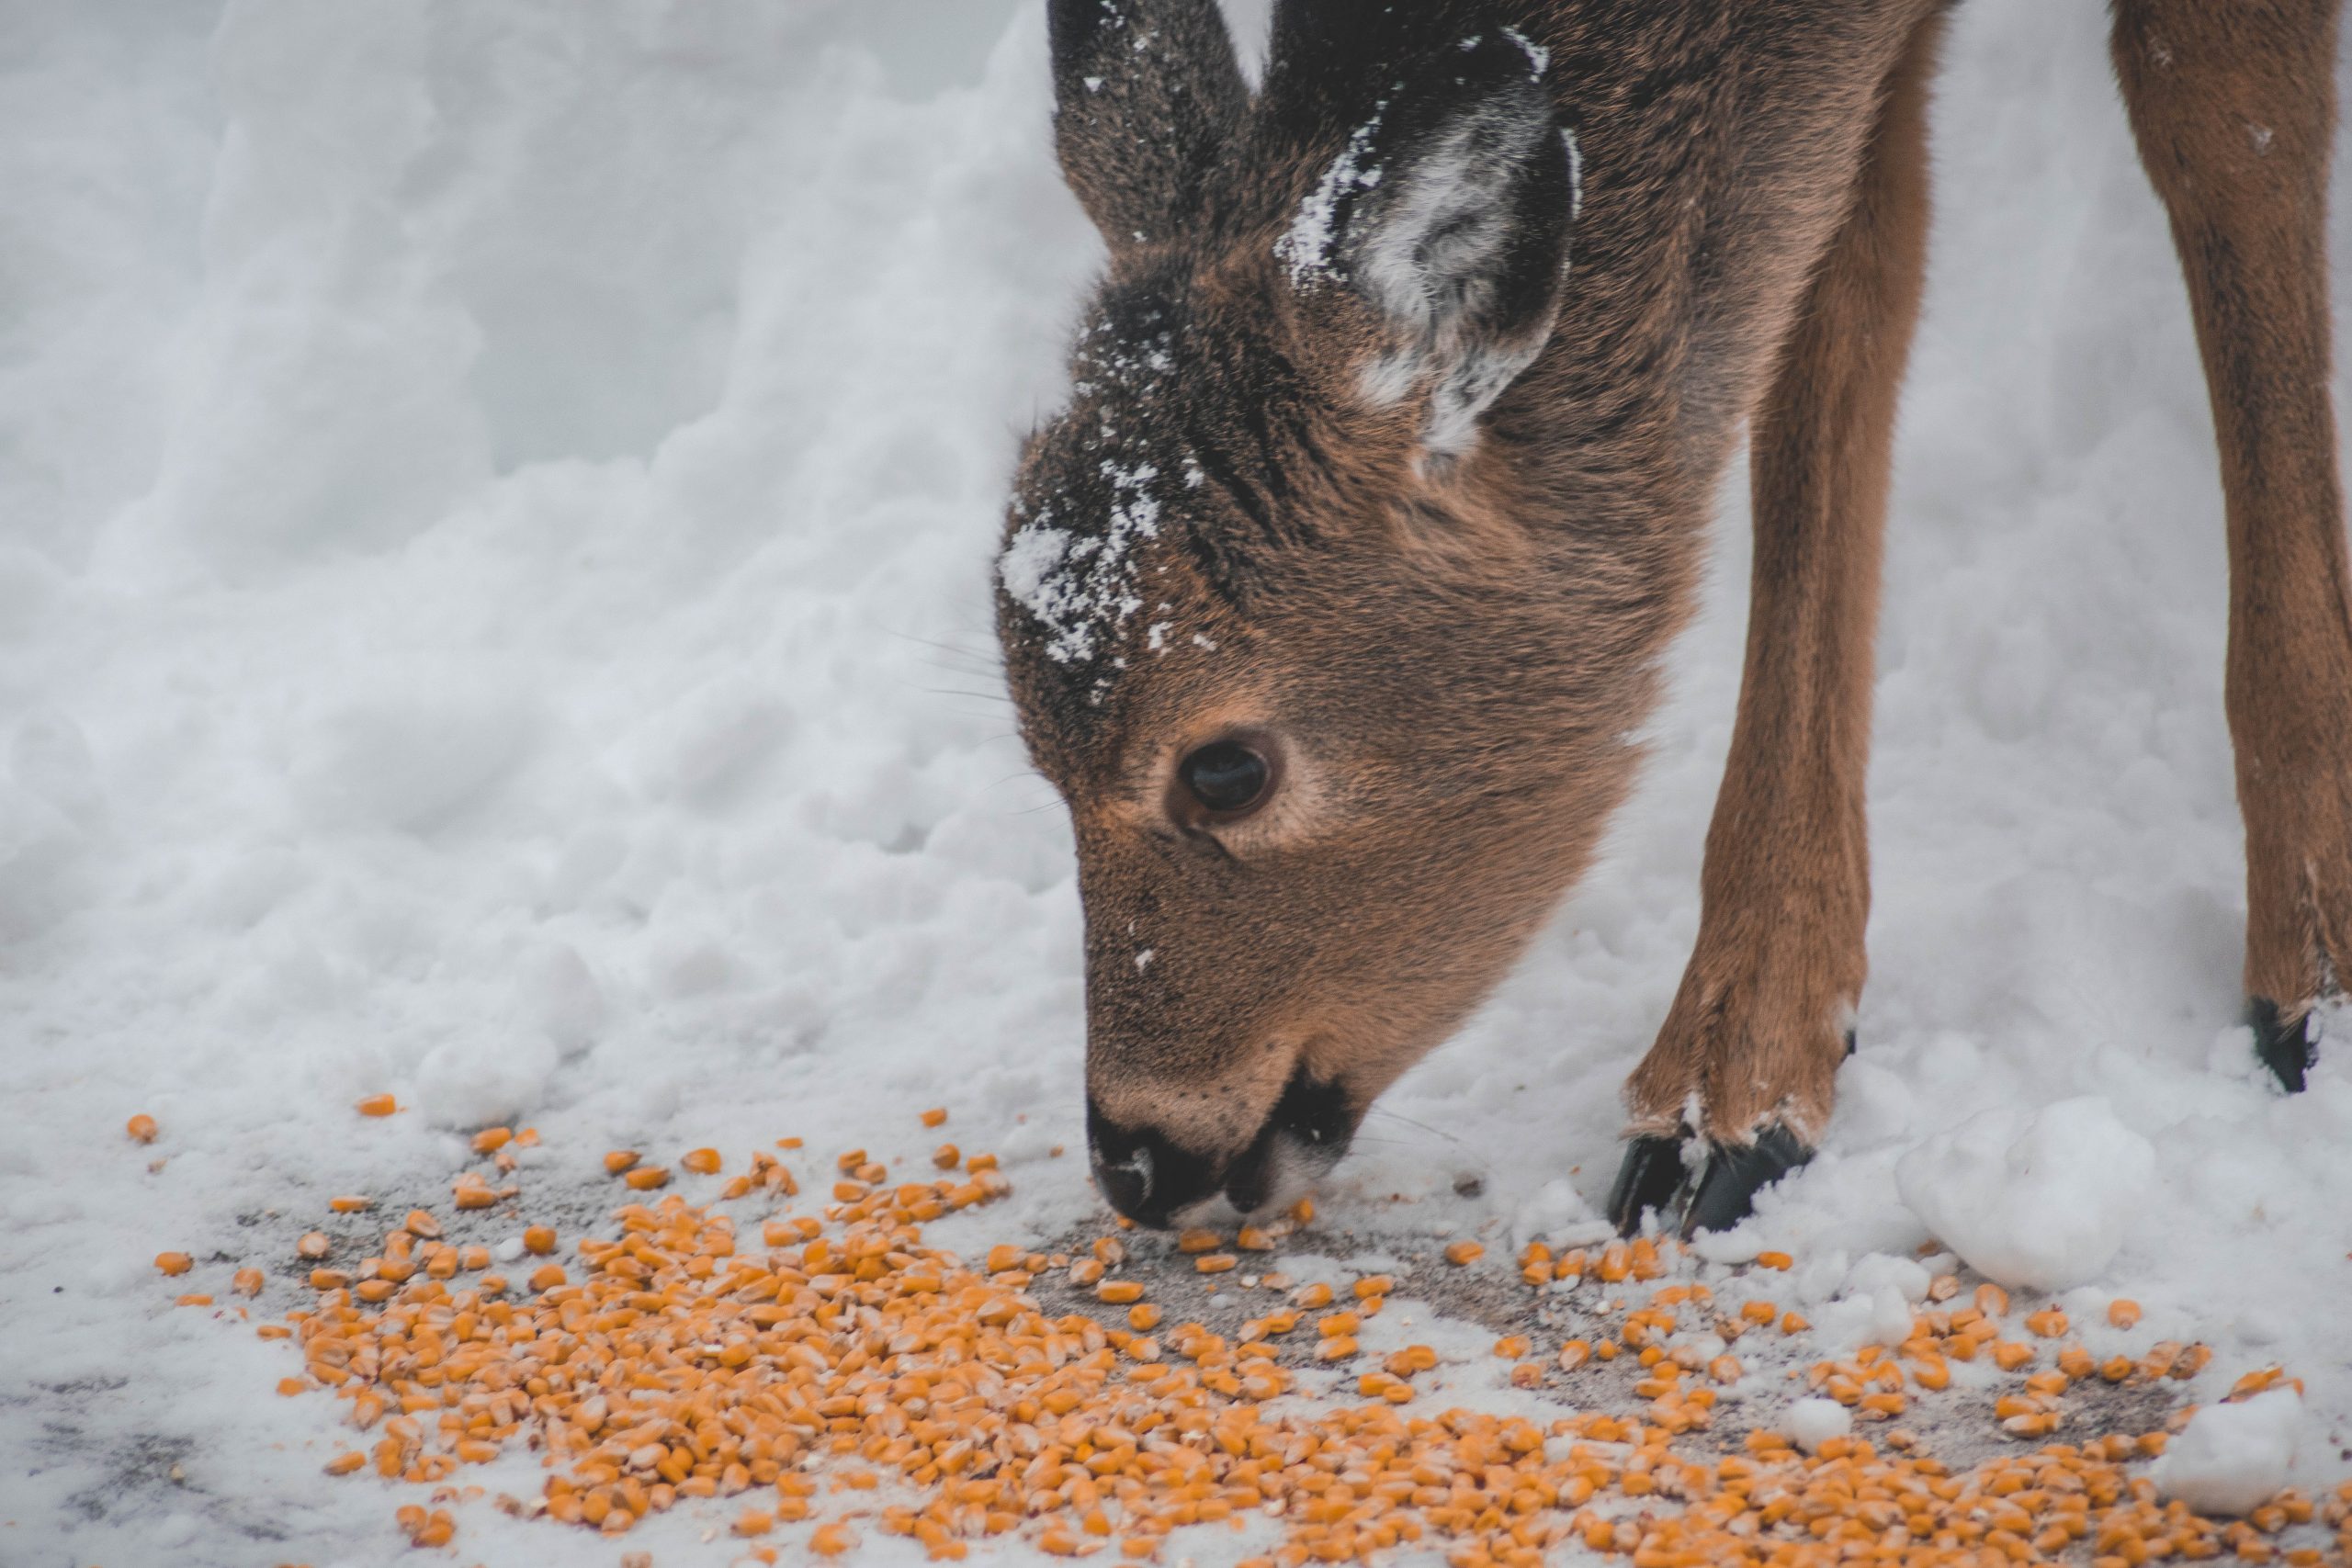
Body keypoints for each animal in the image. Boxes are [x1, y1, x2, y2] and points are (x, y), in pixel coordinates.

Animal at [992, 0, 2352, 1241]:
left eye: (1225, 769)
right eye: (1035, 757)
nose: (1138, 1156)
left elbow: (2221, 123)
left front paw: (2316, 981)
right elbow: (1833, 269)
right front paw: (1729, 1095)